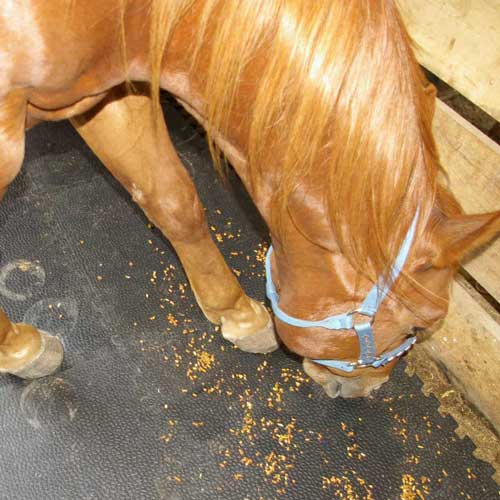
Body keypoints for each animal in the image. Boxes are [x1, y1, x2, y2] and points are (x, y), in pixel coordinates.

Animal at [0, 0, 498, 398]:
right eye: (419, 325)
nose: (366, 389)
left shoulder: (109, 92)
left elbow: (172, 200)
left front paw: (238, 315)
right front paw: (19, 348)